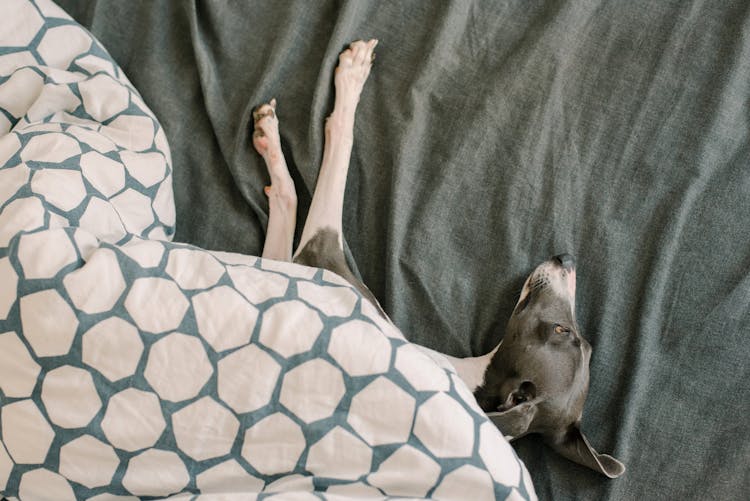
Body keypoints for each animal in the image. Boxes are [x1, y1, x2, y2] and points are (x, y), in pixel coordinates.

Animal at [250, 39, 624, 476]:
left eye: (561, 331)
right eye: (578, 340)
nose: (567, 259)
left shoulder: (321, 254)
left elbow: (335, 153)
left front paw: (351, 75)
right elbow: (283, 217)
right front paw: (269, 137)